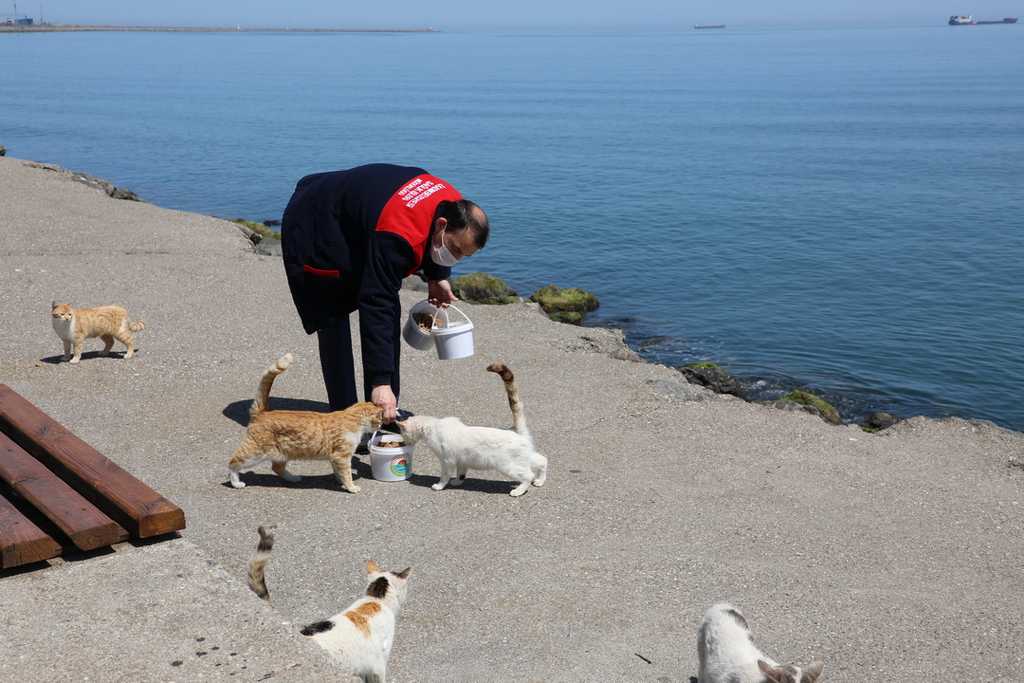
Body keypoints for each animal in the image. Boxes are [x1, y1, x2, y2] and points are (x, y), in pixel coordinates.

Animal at [227, 356, 385, 493]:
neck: (353, 418)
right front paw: (351, 487)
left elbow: (338, 472)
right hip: (255, 453)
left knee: (276, 467)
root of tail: (262, 412)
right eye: (380, 419)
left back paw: (293, 478)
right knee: (233, 462)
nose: (380, 426)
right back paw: (236, 482)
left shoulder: (335, 457)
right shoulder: (341, 456)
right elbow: (346, 474)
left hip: (283, 453)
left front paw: (341, 482)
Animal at [395, 362, 548, 497]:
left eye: (402, 432)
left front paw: (439, 486)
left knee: (528, 475)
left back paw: (518, 491)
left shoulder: (447, 461)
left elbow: (445, 475)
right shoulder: (461, 459)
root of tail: (515, 430)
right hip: (525, 457)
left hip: (508, 465)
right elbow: (461, 472)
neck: (433, 425)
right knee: (543, 460)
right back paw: (540, 481)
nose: (404, 441)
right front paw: (458, 481)